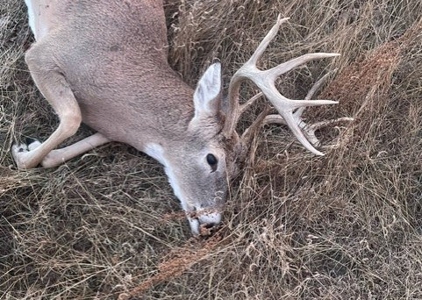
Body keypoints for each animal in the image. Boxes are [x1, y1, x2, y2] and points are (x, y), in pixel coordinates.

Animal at [12, 0, 350, 234]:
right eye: (212, 159)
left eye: (237, 172)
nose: (211, 222)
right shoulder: (44, 54)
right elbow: (71, 117)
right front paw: (19, 154)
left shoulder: (112, 128)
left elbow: (73, 146)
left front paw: (36, 150)